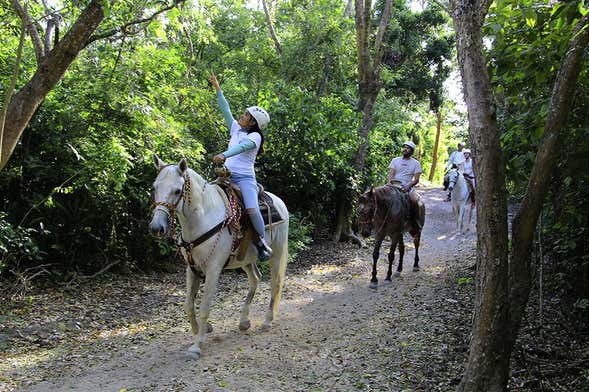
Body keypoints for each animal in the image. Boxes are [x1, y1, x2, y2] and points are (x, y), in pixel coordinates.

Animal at [148, 155, 288, 358]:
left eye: (177, 191)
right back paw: (244, 321)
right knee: (255, 279)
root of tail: (280, 202)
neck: (202, 218)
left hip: (276, 254)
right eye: (155, 187)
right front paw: (202, 330)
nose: (156, 228)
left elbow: (204, 307)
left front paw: (197, 346)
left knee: (275, 284)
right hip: (245, 259)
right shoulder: (191, 269)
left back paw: (267, 321)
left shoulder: (213, 270)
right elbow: (188, 305)